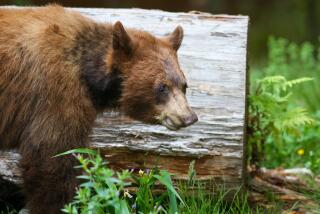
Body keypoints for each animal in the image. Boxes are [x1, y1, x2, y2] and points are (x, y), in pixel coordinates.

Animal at [0, 4, 198, 213]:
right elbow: (51, 156)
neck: (86, 68)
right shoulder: (55, 93)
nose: (189, 117)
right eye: (162, 87)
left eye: (184, 85)